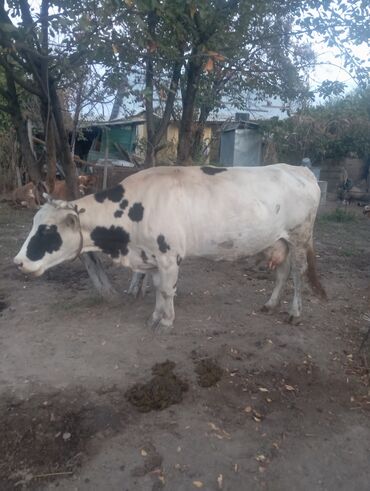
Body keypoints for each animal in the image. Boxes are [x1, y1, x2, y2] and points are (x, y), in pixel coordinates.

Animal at [13, 165, 326, 330]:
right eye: (34, 223)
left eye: (47, 230)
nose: (18, 262)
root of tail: (298, 168)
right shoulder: (151, 256)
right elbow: (155, 288)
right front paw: (155, 315)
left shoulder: (169, 256)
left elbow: (166, 289)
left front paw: (166, 321)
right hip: (279, 240)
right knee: (282, 273)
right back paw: (270, 304)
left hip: (300, 236)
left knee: (298, 274)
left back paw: (295, 312)